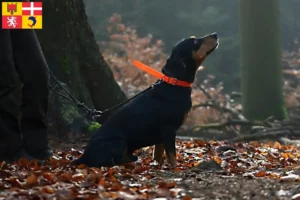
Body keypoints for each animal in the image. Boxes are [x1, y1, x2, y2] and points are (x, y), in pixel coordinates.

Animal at [72, 32, 218, 167]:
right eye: (195, 42)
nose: (215, 34)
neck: (176, 84)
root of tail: (83, 156)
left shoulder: (161, 135)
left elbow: (158, 155)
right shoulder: (168, 129)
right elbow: (172, 156)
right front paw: (176, 168)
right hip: (119, 142)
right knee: (108, 162)